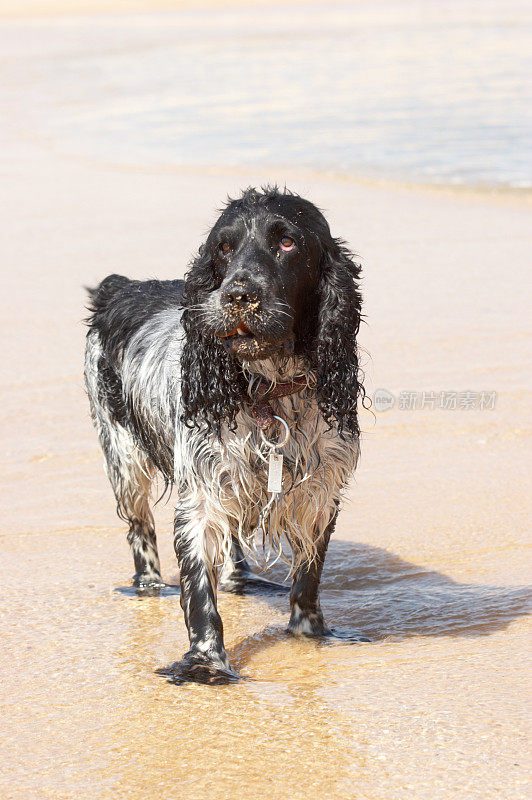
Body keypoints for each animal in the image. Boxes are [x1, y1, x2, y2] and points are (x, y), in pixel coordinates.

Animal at [84, 186, 366, 680]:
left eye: (287, 242)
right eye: (224, 247)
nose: (238, 295)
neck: (270, 390)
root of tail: (121, 285)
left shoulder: (320, 490)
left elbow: (309, 573)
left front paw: (311, 632)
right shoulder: (199, 494)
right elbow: (199, 589)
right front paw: (206, 663)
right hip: (123, 457)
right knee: (140, 530)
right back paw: (149, 586)